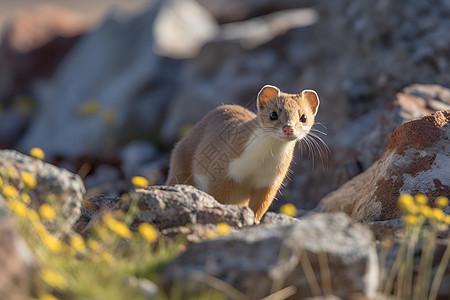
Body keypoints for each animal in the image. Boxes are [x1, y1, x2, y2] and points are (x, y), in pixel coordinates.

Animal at [166, 84, 320, 220]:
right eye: (273, 114)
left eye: (303, 117)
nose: (288, 128)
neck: (259, 163)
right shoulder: (225, 168)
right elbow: (217, 195)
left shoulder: (271, 180)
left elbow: (260, 206)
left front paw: (255, 220)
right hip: (180, 160)